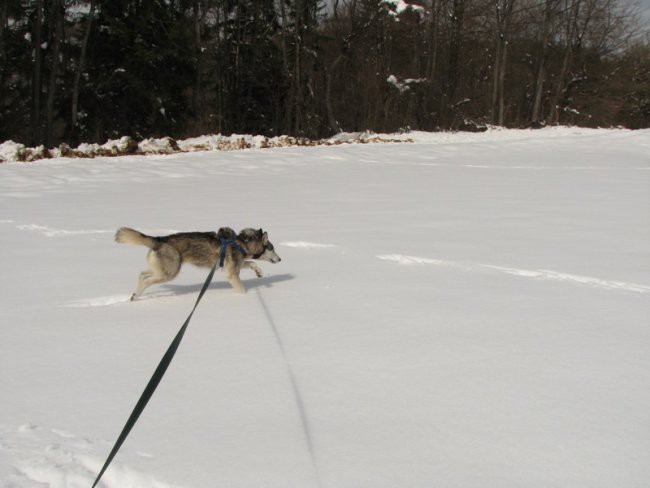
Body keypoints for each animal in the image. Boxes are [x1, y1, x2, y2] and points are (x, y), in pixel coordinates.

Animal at [114, 227, 280, 300]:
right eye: (272, 248)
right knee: (146, 280)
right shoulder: (231, 273)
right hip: (169, 272)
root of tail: (159, 239)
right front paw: (246, 296)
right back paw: (136, 296)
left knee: (142, 275)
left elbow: (251, 263)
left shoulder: (234, 266)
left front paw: (258, 271)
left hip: (161, 270)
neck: (241, 243)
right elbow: (241, 288)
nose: (280, 259)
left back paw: (135, 295)